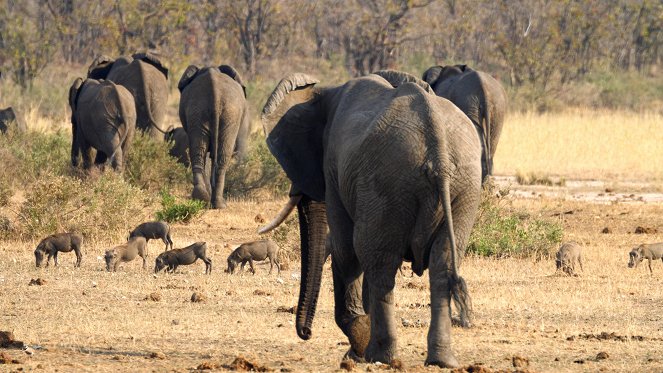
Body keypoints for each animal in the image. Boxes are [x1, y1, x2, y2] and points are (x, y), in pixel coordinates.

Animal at [178, 64, 250, 209]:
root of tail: (214, 90)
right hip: (226, 114)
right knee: (220, 156)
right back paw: (218, 203)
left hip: (201, 112)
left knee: (199, 151)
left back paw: (204, 198)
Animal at [260, 70, 482, 366]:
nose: (306, 333)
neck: (328, 93)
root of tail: (439, 156)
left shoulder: (334, 166)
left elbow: (345, 247)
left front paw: (358, 345)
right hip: (463, 185)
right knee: (441, 263)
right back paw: (441, 361)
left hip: (388, 183)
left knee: (378, 263)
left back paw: (381, 356)